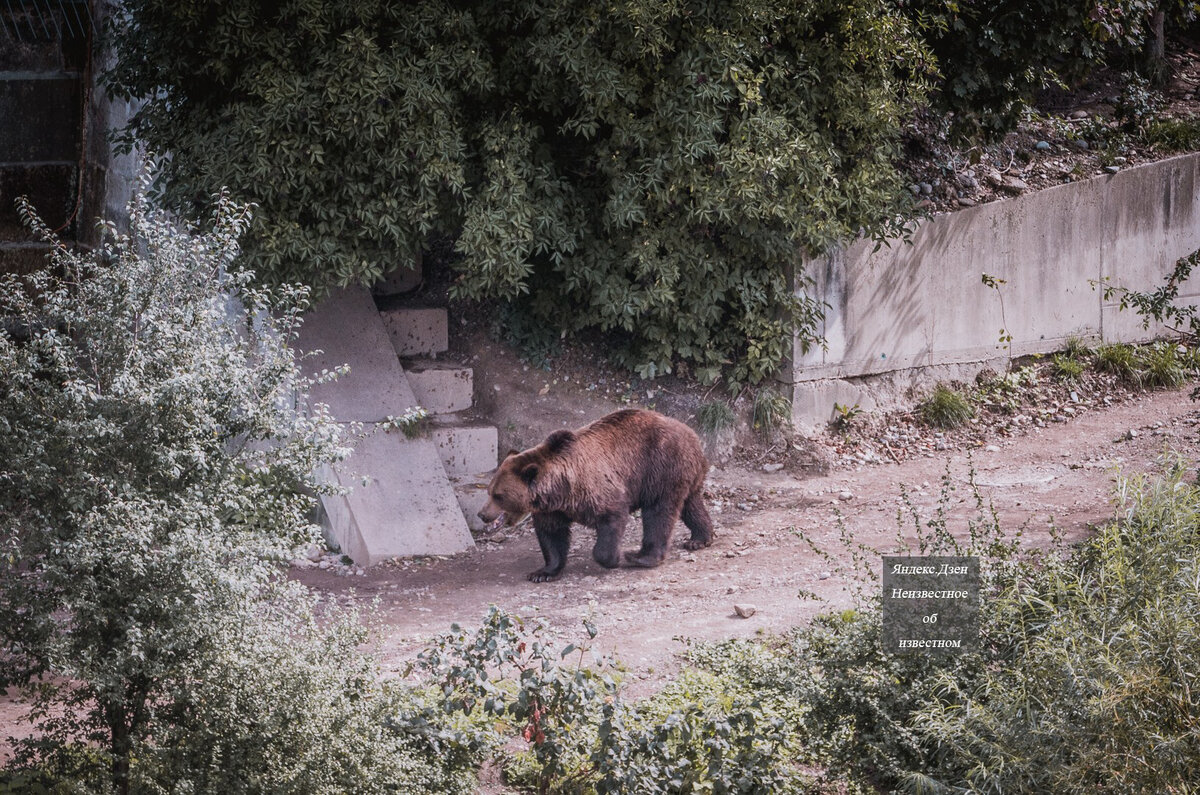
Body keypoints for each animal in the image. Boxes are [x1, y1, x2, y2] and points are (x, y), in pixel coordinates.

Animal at [475, 408, 710, 583]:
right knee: (691, 504)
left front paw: (613, 558)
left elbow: (612, 517)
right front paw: (542, 572)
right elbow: (552, 535)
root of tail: (692, 434)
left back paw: (641, 557)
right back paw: (699, 538)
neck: (560, 489)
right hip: (682, 474)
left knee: (659, 512)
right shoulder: (552, 509)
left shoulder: (596, 490)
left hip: (661, 467)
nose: (482, 514)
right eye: (489, 491)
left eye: (498, 495)